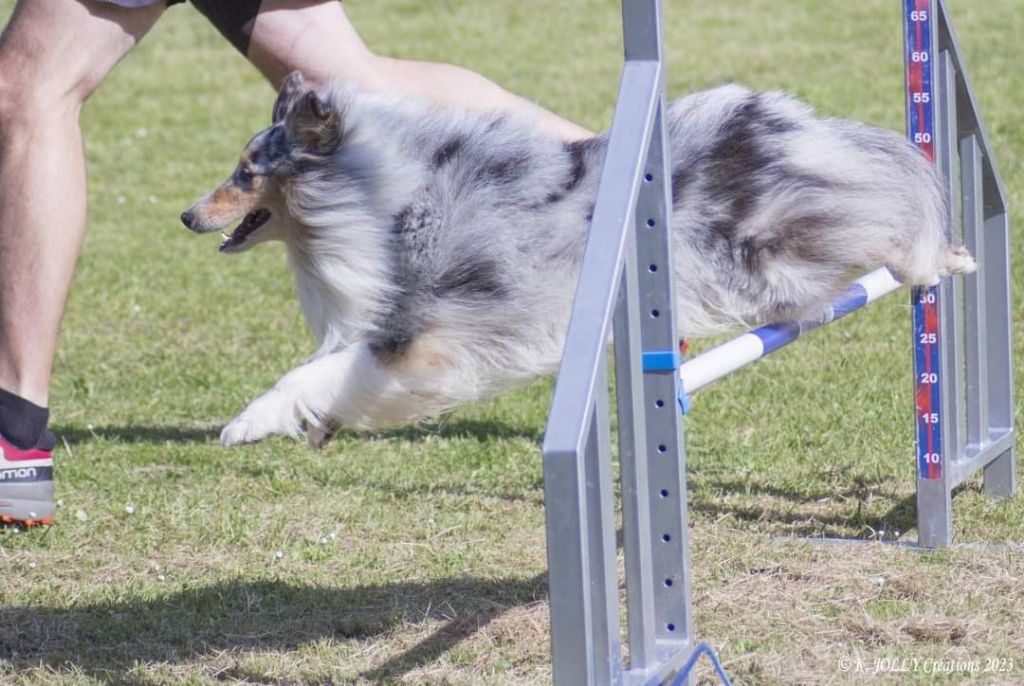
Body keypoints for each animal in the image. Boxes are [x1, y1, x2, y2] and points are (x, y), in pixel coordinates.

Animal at [184, 69, 974, 446]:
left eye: (246, 173)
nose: (187, 215)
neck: (389, 196)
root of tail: (781, 119)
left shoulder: (421, 336)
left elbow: (314, 373)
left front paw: (250, 423)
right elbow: (336, 379)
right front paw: (320, 425)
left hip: (771, 249)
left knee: (888, 215)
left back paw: (939, 259)